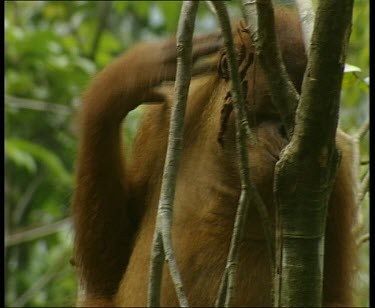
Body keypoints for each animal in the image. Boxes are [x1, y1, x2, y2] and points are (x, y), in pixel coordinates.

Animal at [71, 7, 358, 308]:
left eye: (301, 113)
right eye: (277, 103)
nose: (284, 130)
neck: (228, 166)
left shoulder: (335, 168)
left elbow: (334, 296)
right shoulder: (165, 118)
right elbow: (108, 273)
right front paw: (126, 79)